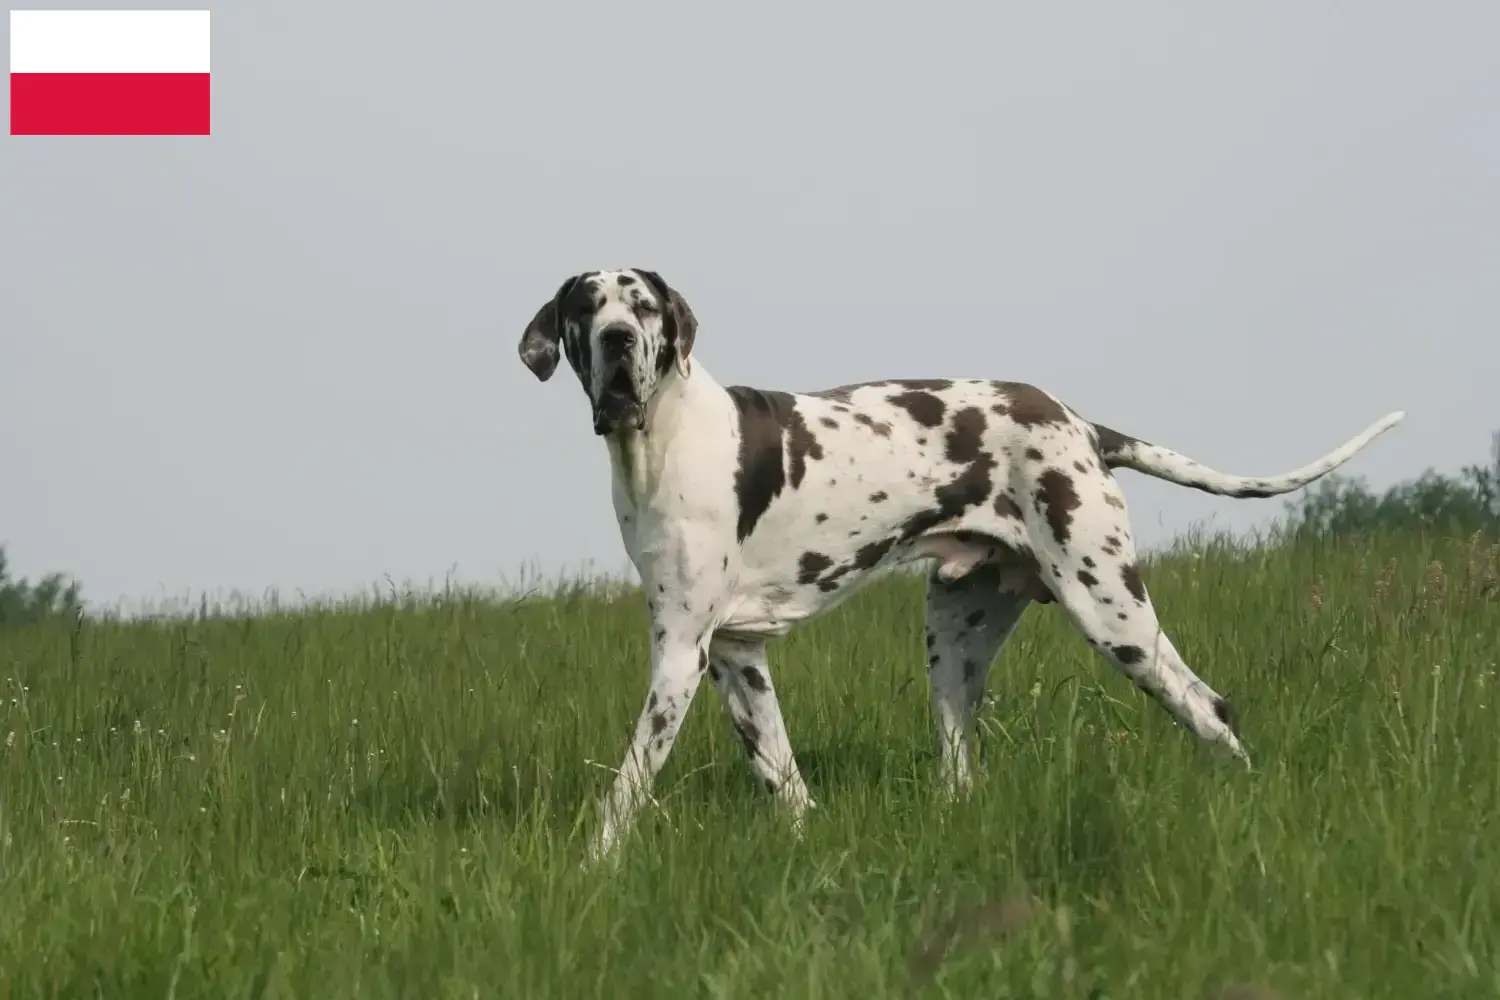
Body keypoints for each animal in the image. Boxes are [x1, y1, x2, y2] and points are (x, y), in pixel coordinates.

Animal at [516, 268, 1404, 863]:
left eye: (642, 305)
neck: (665, 438)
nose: (617, 342)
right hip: (953, 641)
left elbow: (629, 783)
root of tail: (1080, 422)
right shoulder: (738, 657)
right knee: (961, 765)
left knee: (1211, 708)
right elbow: (783, 778)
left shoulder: (679, 655)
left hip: (1112, 612)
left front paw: (594, 866)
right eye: (585, 307)